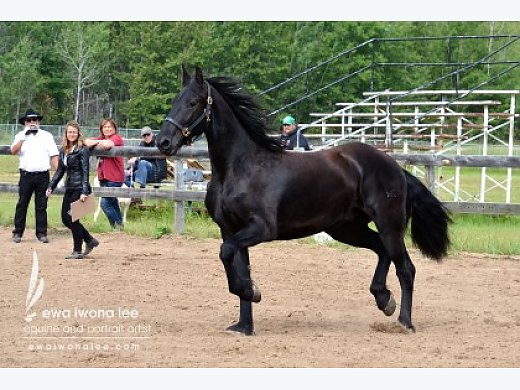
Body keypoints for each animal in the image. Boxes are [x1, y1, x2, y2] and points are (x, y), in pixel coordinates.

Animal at [155, 66, 450, 336]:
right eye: (175, 100)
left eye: (193, 102)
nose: (163, 142)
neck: (240, 168)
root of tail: (395, 167)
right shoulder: (230, 230)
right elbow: (237, 265)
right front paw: (244, 324)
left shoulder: (261, 229)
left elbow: (227, 254)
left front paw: (253, 292)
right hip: (346, 229)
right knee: (381, 250)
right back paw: (384, 299)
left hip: (389, 223)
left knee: (406, 268)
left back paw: (404, 321)